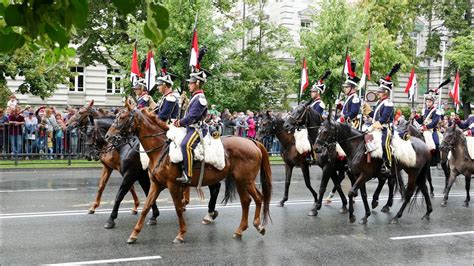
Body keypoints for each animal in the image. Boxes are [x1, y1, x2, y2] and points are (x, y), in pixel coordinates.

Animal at [105, 100, 272, 245]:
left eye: (122, 117)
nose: (108, 136)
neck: (160, 149)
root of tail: (251, 141)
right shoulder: (155, 184)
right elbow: (146, 207)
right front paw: (134, 234)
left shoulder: (172, 185)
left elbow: (178, 209)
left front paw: (181, 234)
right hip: (239, 181)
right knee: (246, 201)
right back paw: (239, 230)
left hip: (246, 180)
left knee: (258, 198)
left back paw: (258, 225)